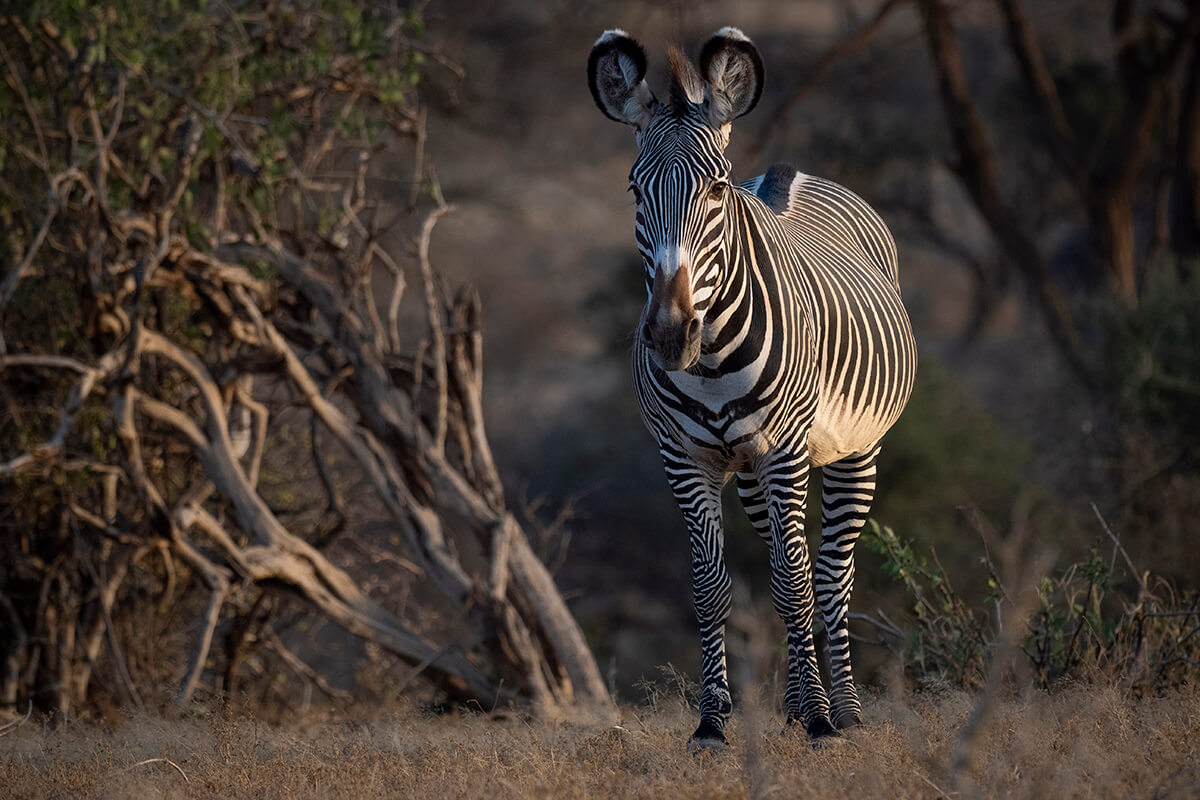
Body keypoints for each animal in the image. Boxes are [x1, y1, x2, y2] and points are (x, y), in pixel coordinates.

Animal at [587, 27, 917, 748]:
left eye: (714, 191)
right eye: (634, 191)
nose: (669, 334)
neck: (710, 360)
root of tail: (786, 174)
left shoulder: (786, 451)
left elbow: (796, 584)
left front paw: (822, 721)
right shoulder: (685, 458)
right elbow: (714, 587)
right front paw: (712, 723)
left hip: (854, 451)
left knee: (830, 576)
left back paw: (843, 711)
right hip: (748, 472)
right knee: (782, 559)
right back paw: (796, 702)